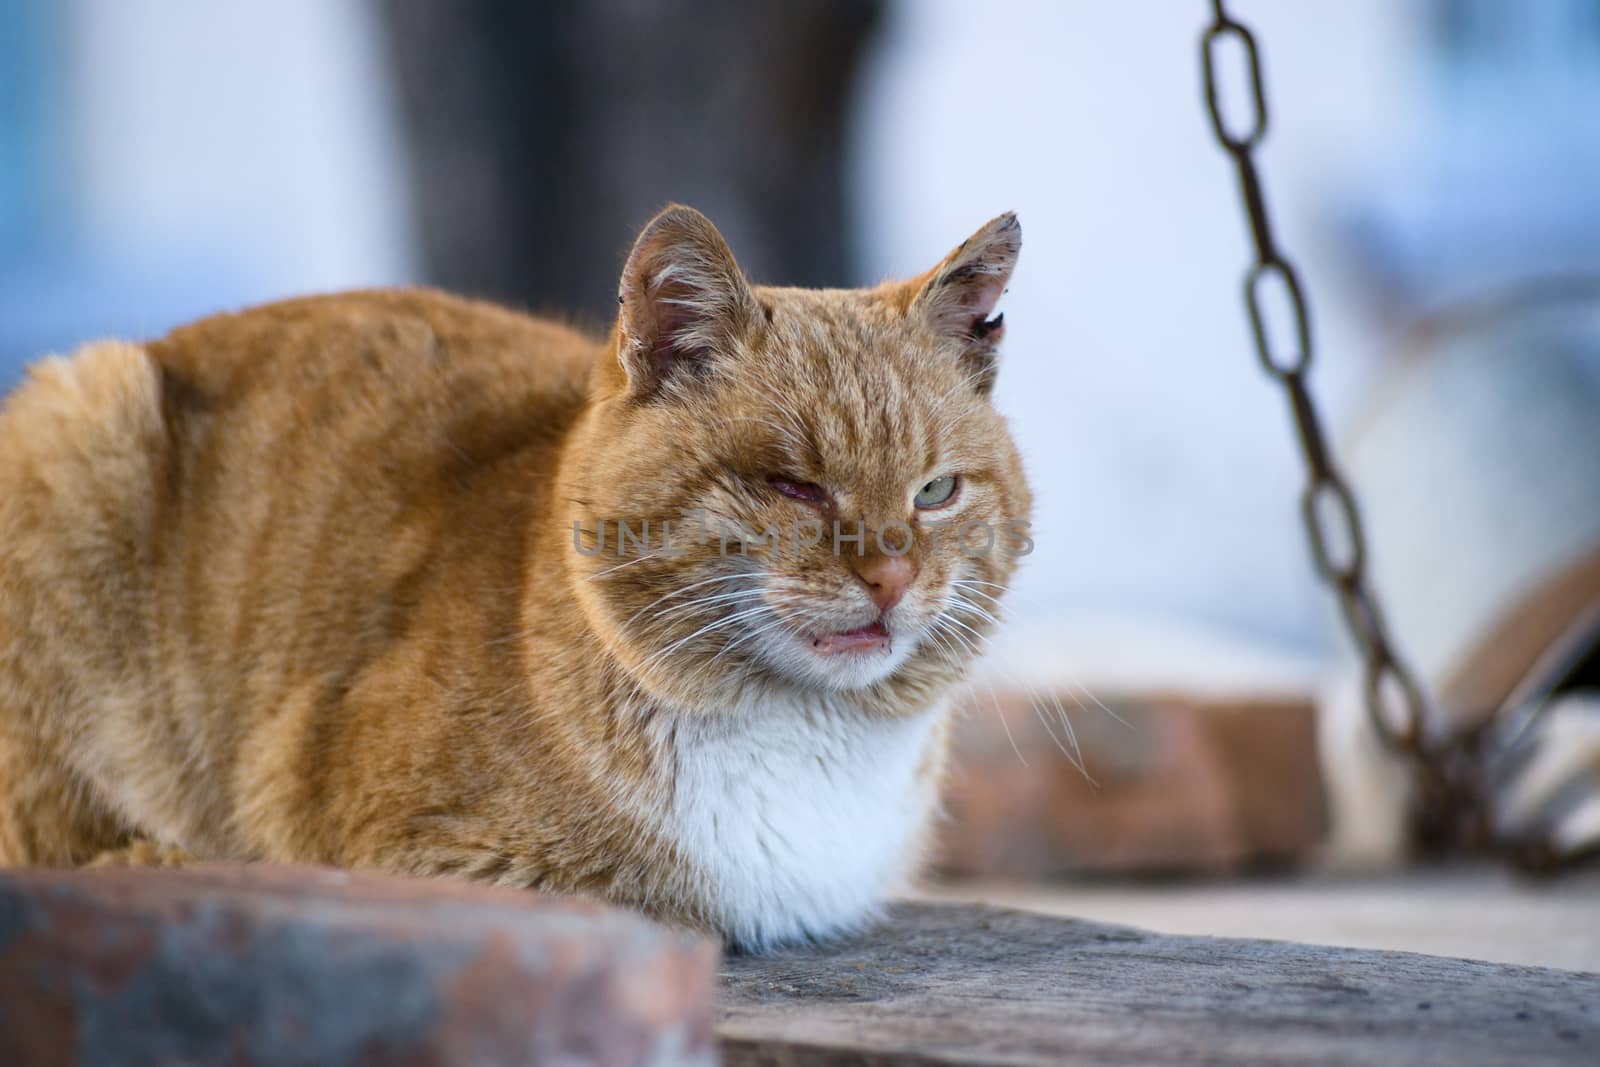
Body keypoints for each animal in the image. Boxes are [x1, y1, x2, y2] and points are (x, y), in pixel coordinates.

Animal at [0, 207, 1024, 953]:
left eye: (935, 491)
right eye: (793, 485)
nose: (891, 576)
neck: (810, 738)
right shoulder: (435, 866)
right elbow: (667, 910)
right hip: (82, 414)